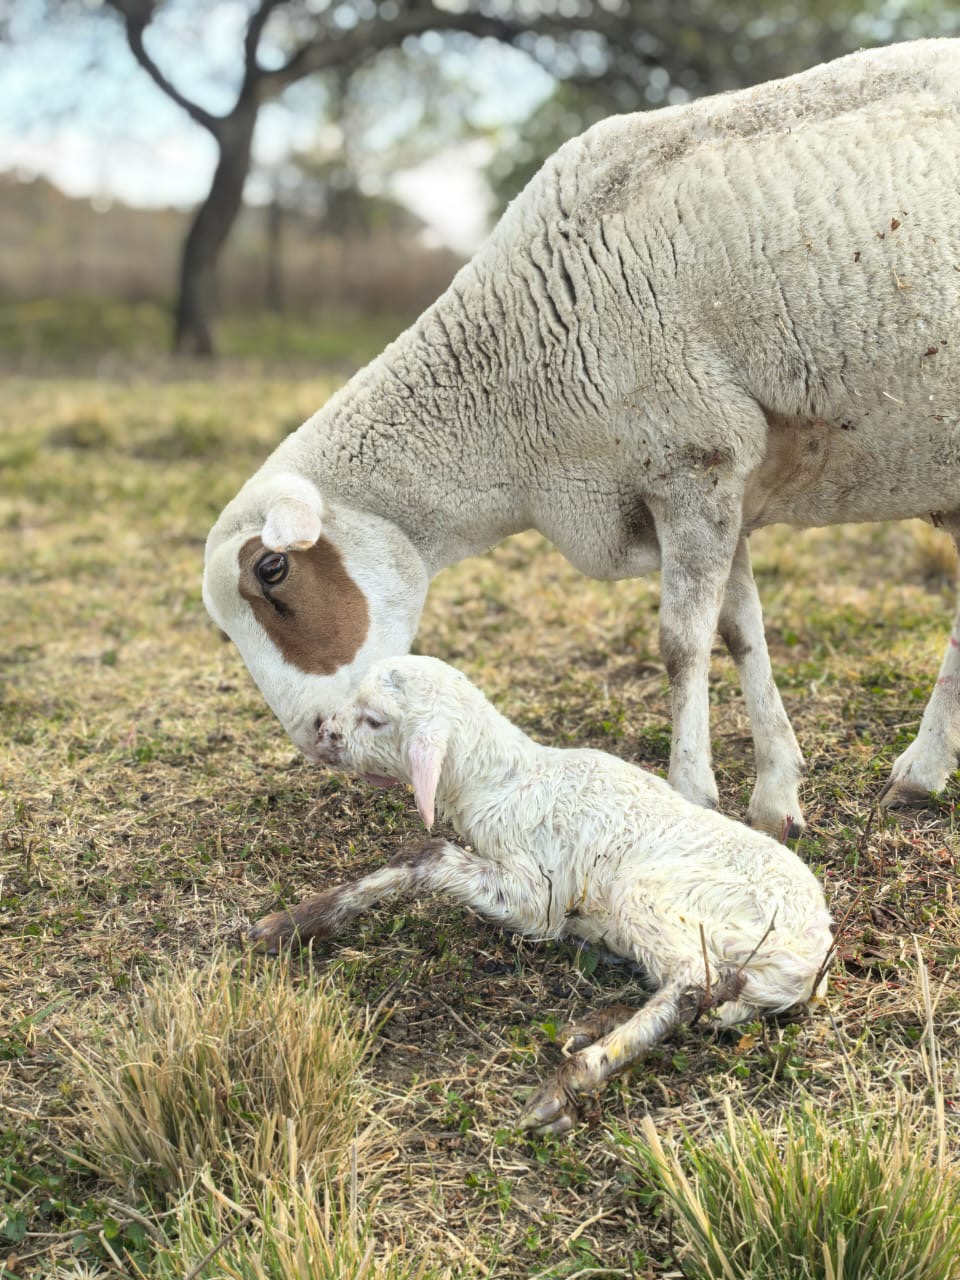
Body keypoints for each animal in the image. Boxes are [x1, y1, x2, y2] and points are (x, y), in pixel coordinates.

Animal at [203, 39, 960, 838]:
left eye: (272, 570)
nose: (319, 736)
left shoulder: (692, 459)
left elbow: (680, 645)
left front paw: (692, 794)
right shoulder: (714, 481)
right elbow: (740, 631)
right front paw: (777, 795)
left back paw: (919, 767)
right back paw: (923, 772)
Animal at [249, 655, 833, 1134]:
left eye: (375, 719)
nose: (323, 733)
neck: (504, 779)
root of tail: (811, 963)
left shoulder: (537, 895)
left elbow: (425, 855)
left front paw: (302, 920)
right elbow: (411, 858)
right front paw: (289, 924)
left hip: (656, 896)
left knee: (693, 981)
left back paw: (572, 1079)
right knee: (707, 999)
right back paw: (594, 1021)